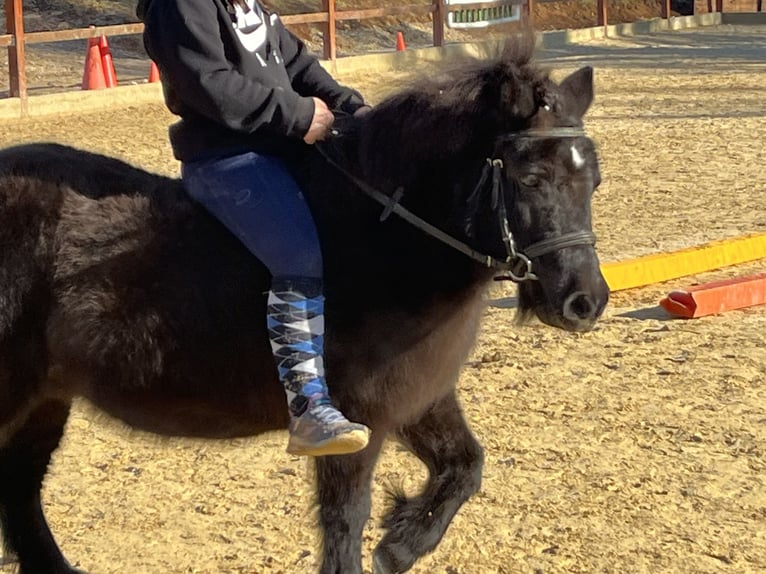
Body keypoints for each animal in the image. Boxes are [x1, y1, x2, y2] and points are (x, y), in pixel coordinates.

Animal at [0, 37, 612, 574]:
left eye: (594, 179)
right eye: (530, 177)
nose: (586, 300)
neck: (380, 240)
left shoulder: (420, 397)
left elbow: (466, 466)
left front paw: (400, 544)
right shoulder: (357, 417)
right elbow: (345, 518)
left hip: (44, 400)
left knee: (21, 490)